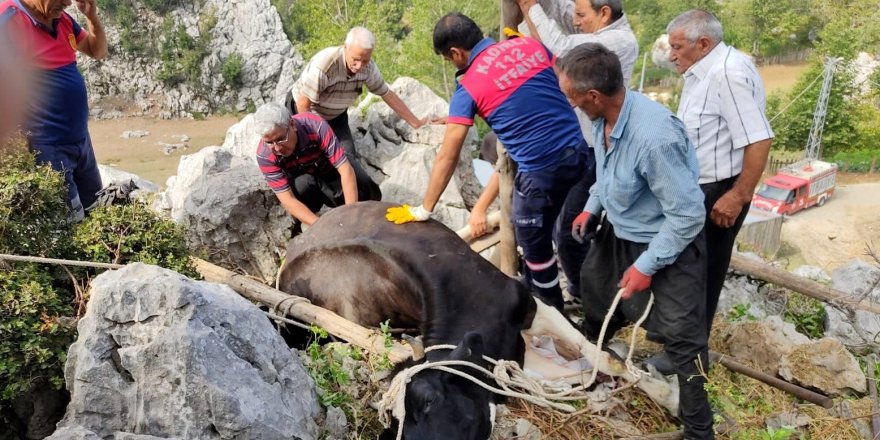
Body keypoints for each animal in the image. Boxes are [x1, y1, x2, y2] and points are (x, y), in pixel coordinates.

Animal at [278, 201, 676, 438]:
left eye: (428, 400)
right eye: (391, 424)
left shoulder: (528, 305)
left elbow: (602, 358)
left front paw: (671, 397)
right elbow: (579, 373)